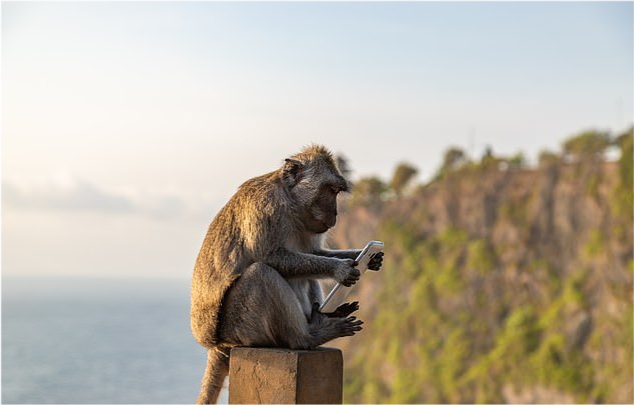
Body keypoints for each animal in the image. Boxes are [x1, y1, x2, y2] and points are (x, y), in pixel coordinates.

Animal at [190, 145, 382, 404]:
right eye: (330, 190)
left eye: (337, 192)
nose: (335, 213)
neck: (290, 202)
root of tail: (216, 344)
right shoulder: (264, 207)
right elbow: (269, 256)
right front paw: (339, 268)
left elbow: (314, 254)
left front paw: (366, 257)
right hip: (240, 328)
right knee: (261, 273)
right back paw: (308, 337)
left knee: (306, 275)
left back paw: (322, 318)